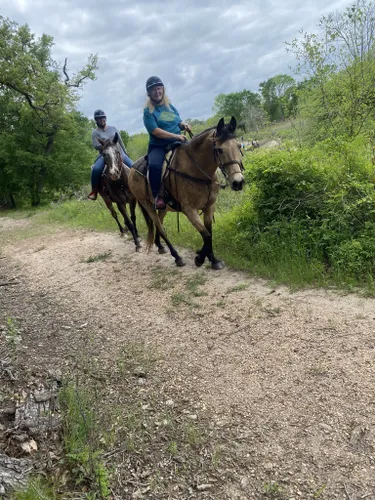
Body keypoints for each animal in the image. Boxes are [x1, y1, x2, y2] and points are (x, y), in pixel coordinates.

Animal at [129, 116, 247, 270]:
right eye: (219, 150)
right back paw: (177, 257)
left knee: (159, 224)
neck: (196, 171)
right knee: (161, 228)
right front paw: (200, 258)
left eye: (239, 146)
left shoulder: (210, 207)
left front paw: (213, 259)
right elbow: (206, 235)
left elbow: (209, 233)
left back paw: (160, 246)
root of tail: (131, 170)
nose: (238, 182)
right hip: (147, 206)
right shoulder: (189, 210)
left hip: (163, 208)